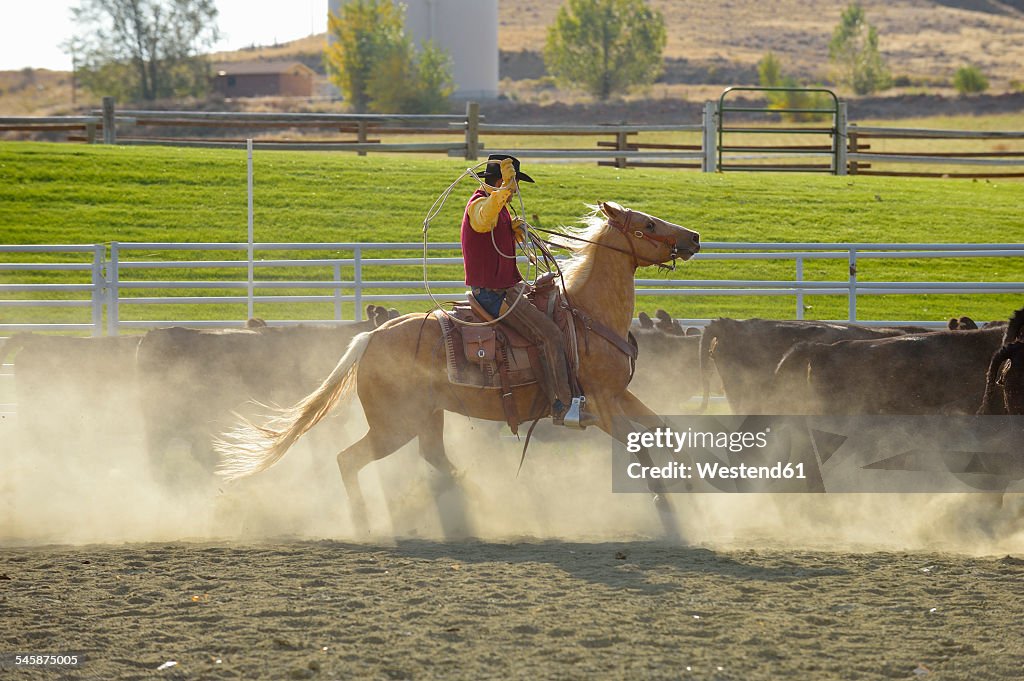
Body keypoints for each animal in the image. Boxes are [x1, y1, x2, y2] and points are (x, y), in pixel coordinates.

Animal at [215, 201, 696, 536]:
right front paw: (668, 508)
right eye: (650, 224)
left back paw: (472, 499)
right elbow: (640, 445)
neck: (587, 316)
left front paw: (690, 482)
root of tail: (373, 337)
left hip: (427, 416)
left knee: (432, 457)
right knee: (348, 459)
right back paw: (366, 522)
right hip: (394, 425)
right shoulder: (601, 403)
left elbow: (665, 427)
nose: (693, 236)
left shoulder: (620, 395)